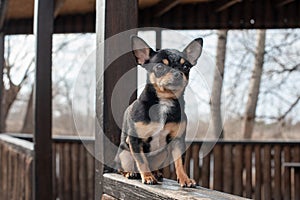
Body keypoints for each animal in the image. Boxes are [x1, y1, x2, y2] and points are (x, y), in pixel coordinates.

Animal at [113, 36, 203, 188]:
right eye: (160, 67)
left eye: (186, 67)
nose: (178, 74)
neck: (164, 101)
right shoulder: (135, 140)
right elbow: (142, 161)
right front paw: (147, 177)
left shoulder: (178, 141)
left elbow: (180, 162)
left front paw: (185, 179)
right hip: (124, 153)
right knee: (124, 167)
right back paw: (131, 173)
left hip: (162, 154)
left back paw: (156, 173)